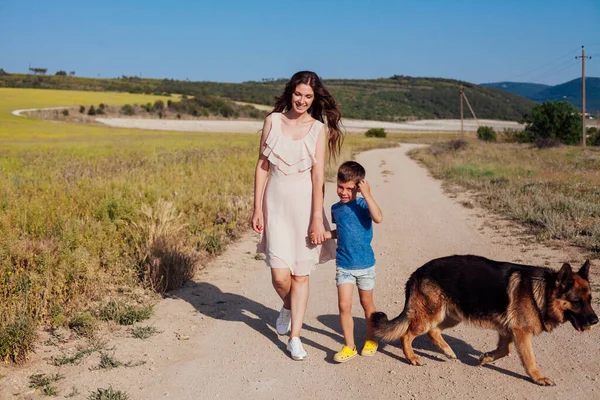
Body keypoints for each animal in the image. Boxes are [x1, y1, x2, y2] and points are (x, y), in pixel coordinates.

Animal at [372, 255, 596, 386]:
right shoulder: (521, 333)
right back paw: (412, 358)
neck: (545, 290)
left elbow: (504, 350)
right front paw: (538, 377)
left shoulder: (508, 331)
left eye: (590, 300)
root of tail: (417, 272)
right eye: (577, 302)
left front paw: (486, 358)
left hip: (451, 315)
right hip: (432, 315)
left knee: (433, 331)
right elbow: (529, 359)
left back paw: (447, 351)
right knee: (407, 335)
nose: (596, 321)